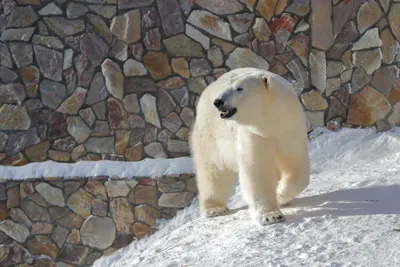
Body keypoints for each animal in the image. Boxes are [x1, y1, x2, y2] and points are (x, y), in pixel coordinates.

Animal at [189, 67, 310, 226]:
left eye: (239, 88)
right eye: (227, 87)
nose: (218, 102)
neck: (273, 121)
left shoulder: (289, 130)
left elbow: (295, 164)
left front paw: (280, 195)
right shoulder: (254, 133)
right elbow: (256, 168)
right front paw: (271, 215)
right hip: (210, 137)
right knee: (213, 171)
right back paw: (214, 209)